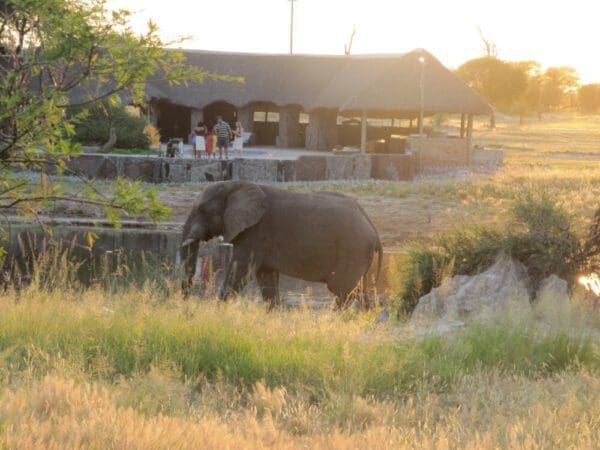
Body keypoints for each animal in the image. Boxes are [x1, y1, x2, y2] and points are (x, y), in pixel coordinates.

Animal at [180, 180, 382, 310]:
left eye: (203, 210)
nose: (185, 304)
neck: (236, 184)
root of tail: (373, 227)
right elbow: (266, 277)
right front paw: (274, 315)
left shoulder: (255, 232)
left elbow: (239, 272)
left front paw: (216, 310)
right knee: (355, 291)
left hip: (352, 252)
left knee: (342, 290)